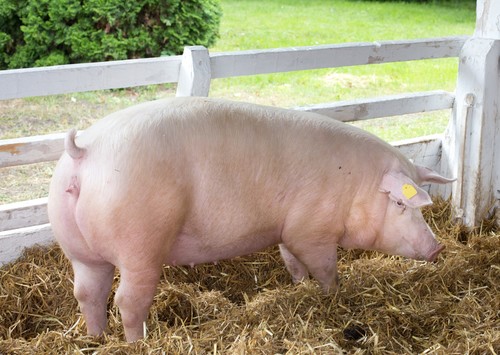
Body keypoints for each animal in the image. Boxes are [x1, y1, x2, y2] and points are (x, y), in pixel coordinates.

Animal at [48, 97, 456, 342]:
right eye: (402, 204)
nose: (437, 249)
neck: (355, 186)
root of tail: (85, 151)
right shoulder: (312, 231)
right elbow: (327, 270)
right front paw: (332, 296)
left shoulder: (288, 231)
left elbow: (292, 263)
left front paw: (299, 287)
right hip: (140, 241)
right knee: (128, 299)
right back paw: (138, 342)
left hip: (78, 248)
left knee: (87, 293)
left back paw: (96, 338)